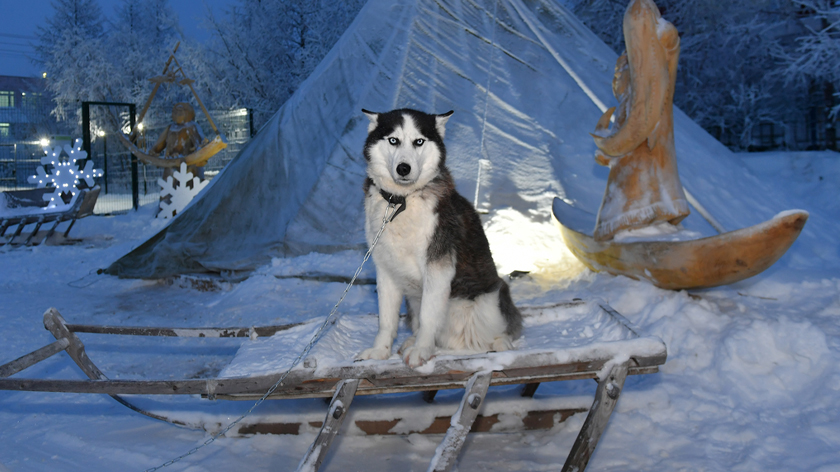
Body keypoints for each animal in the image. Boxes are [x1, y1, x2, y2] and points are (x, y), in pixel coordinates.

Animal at [358, 109, 520, 366]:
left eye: (419, 141)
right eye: (393, 140)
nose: (403, 168)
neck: (401, 202)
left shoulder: (438, 266)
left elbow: (428, 316)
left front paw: (422, 349)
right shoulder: (385, 268)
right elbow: (386, 320)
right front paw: (380, 351)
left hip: (492, 299)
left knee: (497, 333)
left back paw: (497, 342)